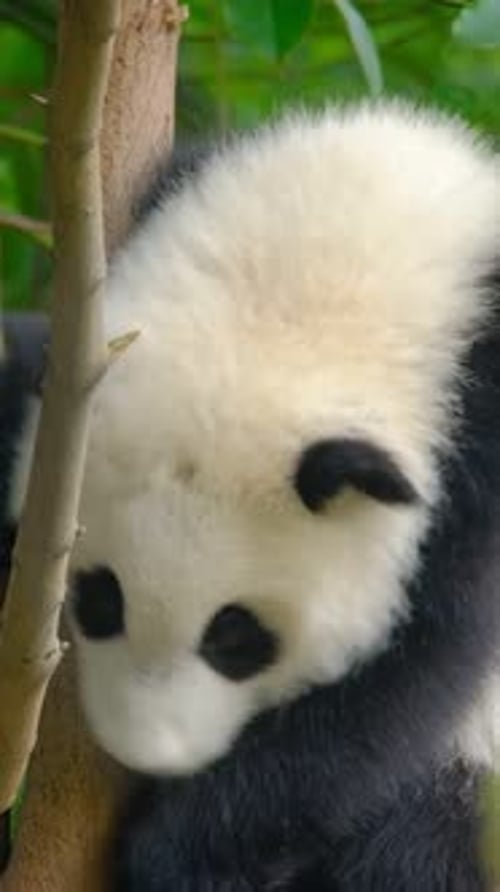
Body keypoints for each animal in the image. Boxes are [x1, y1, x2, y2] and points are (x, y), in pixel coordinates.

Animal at [3, 100, 500, 890]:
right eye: (98, 597)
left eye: (236, 636)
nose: (151, 751)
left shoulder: (474, 449)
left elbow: (403, 679)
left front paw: (177, 860)